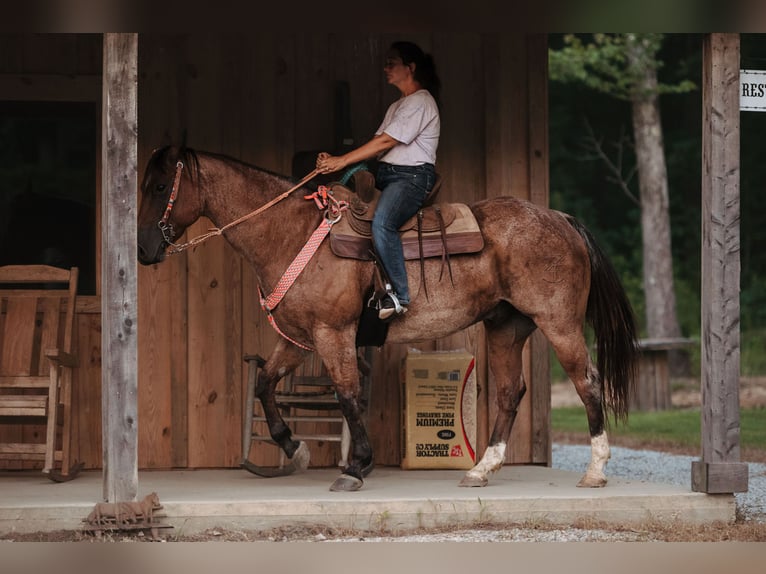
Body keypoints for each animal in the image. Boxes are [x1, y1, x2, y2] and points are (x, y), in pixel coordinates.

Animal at [138, 146, 640, 492]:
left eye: (161, 187)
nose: (144, 250)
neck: (292, 234)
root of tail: (561, 218)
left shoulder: (333, 334)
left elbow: (346, 395)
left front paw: (355, 467)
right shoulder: (300, 339)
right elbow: (265, 384)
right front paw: (295, 449)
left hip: (559, 323)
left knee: (587, 381)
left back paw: (595, 470)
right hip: (506, 327)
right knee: (509, 392)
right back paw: (482, 469)